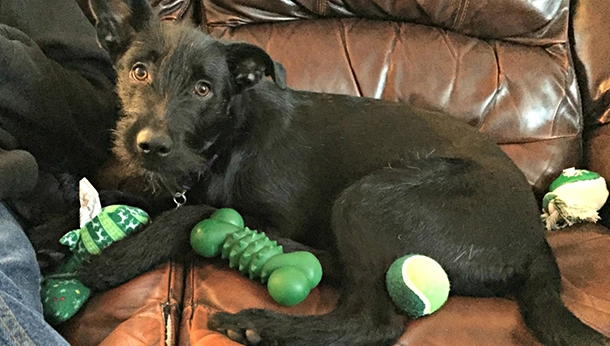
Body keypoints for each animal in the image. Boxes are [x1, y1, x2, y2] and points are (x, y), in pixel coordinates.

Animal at [44, 0, 604, 344]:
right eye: (138, 71)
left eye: (204, 89)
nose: (149, 146)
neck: (227, 142)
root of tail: (536, 243)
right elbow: (139, 196)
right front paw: (55, 224)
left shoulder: (263, 207)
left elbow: (195, 212)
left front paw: (111, 262)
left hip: (368, 197)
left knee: (372, 322)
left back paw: (262, 324)